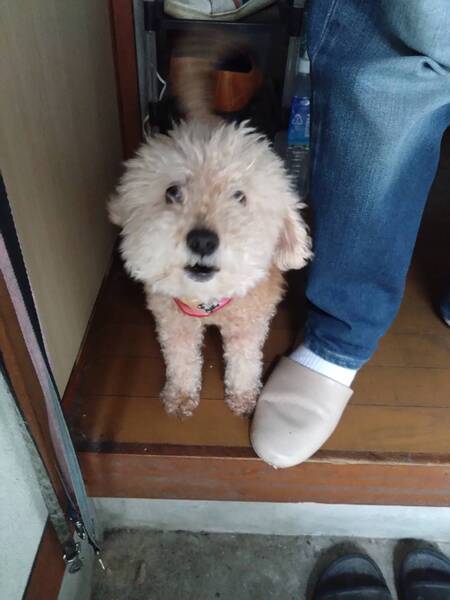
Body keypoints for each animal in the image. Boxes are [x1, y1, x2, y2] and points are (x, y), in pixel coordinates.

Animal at [109, 35, 312, 418]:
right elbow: (181, 360)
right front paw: (181, 396)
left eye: (239, 196)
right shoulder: (174, 323)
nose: (202, 241)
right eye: (173, 192)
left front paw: (245, 397)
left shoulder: (249, 326)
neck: (207, 301)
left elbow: (245, 362)